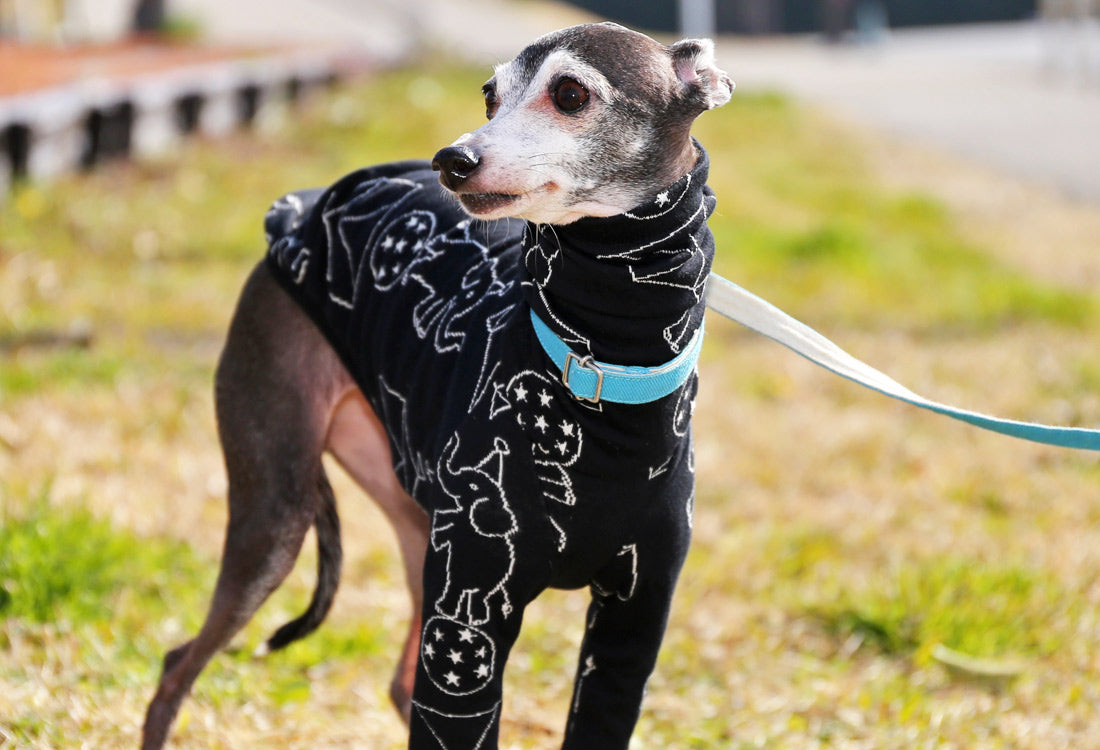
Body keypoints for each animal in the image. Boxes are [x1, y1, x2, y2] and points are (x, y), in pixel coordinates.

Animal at [141, 23, 734, 747]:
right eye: (489, 94)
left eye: (570, 92)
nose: (453, 160)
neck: (597, 371)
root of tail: (306, 209)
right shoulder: (470, 622)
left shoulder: (632, 618)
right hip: (281, 516)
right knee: (178, 663)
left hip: (418, 525)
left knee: (398, 681)